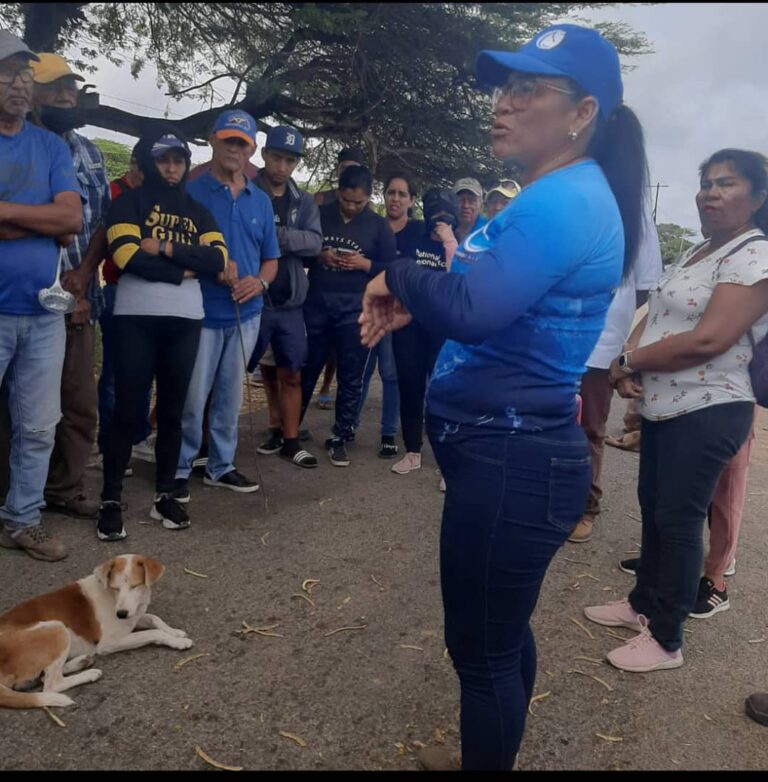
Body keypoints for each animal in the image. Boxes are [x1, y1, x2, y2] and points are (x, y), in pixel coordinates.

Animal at [0, 556, 191, 712]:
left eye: (134, 586)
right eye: (115, 588)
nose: (120, 614)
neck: (111, 597)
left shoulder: (132, 618)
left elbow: (154, 618)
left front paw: (175, 632)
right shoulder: (109, 643)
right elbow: (153, 633)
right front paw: (177, 642)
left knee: (44, 676)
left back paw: (81, 661)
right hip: (57, 628)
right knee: (52, 684)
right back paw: (89, 674)